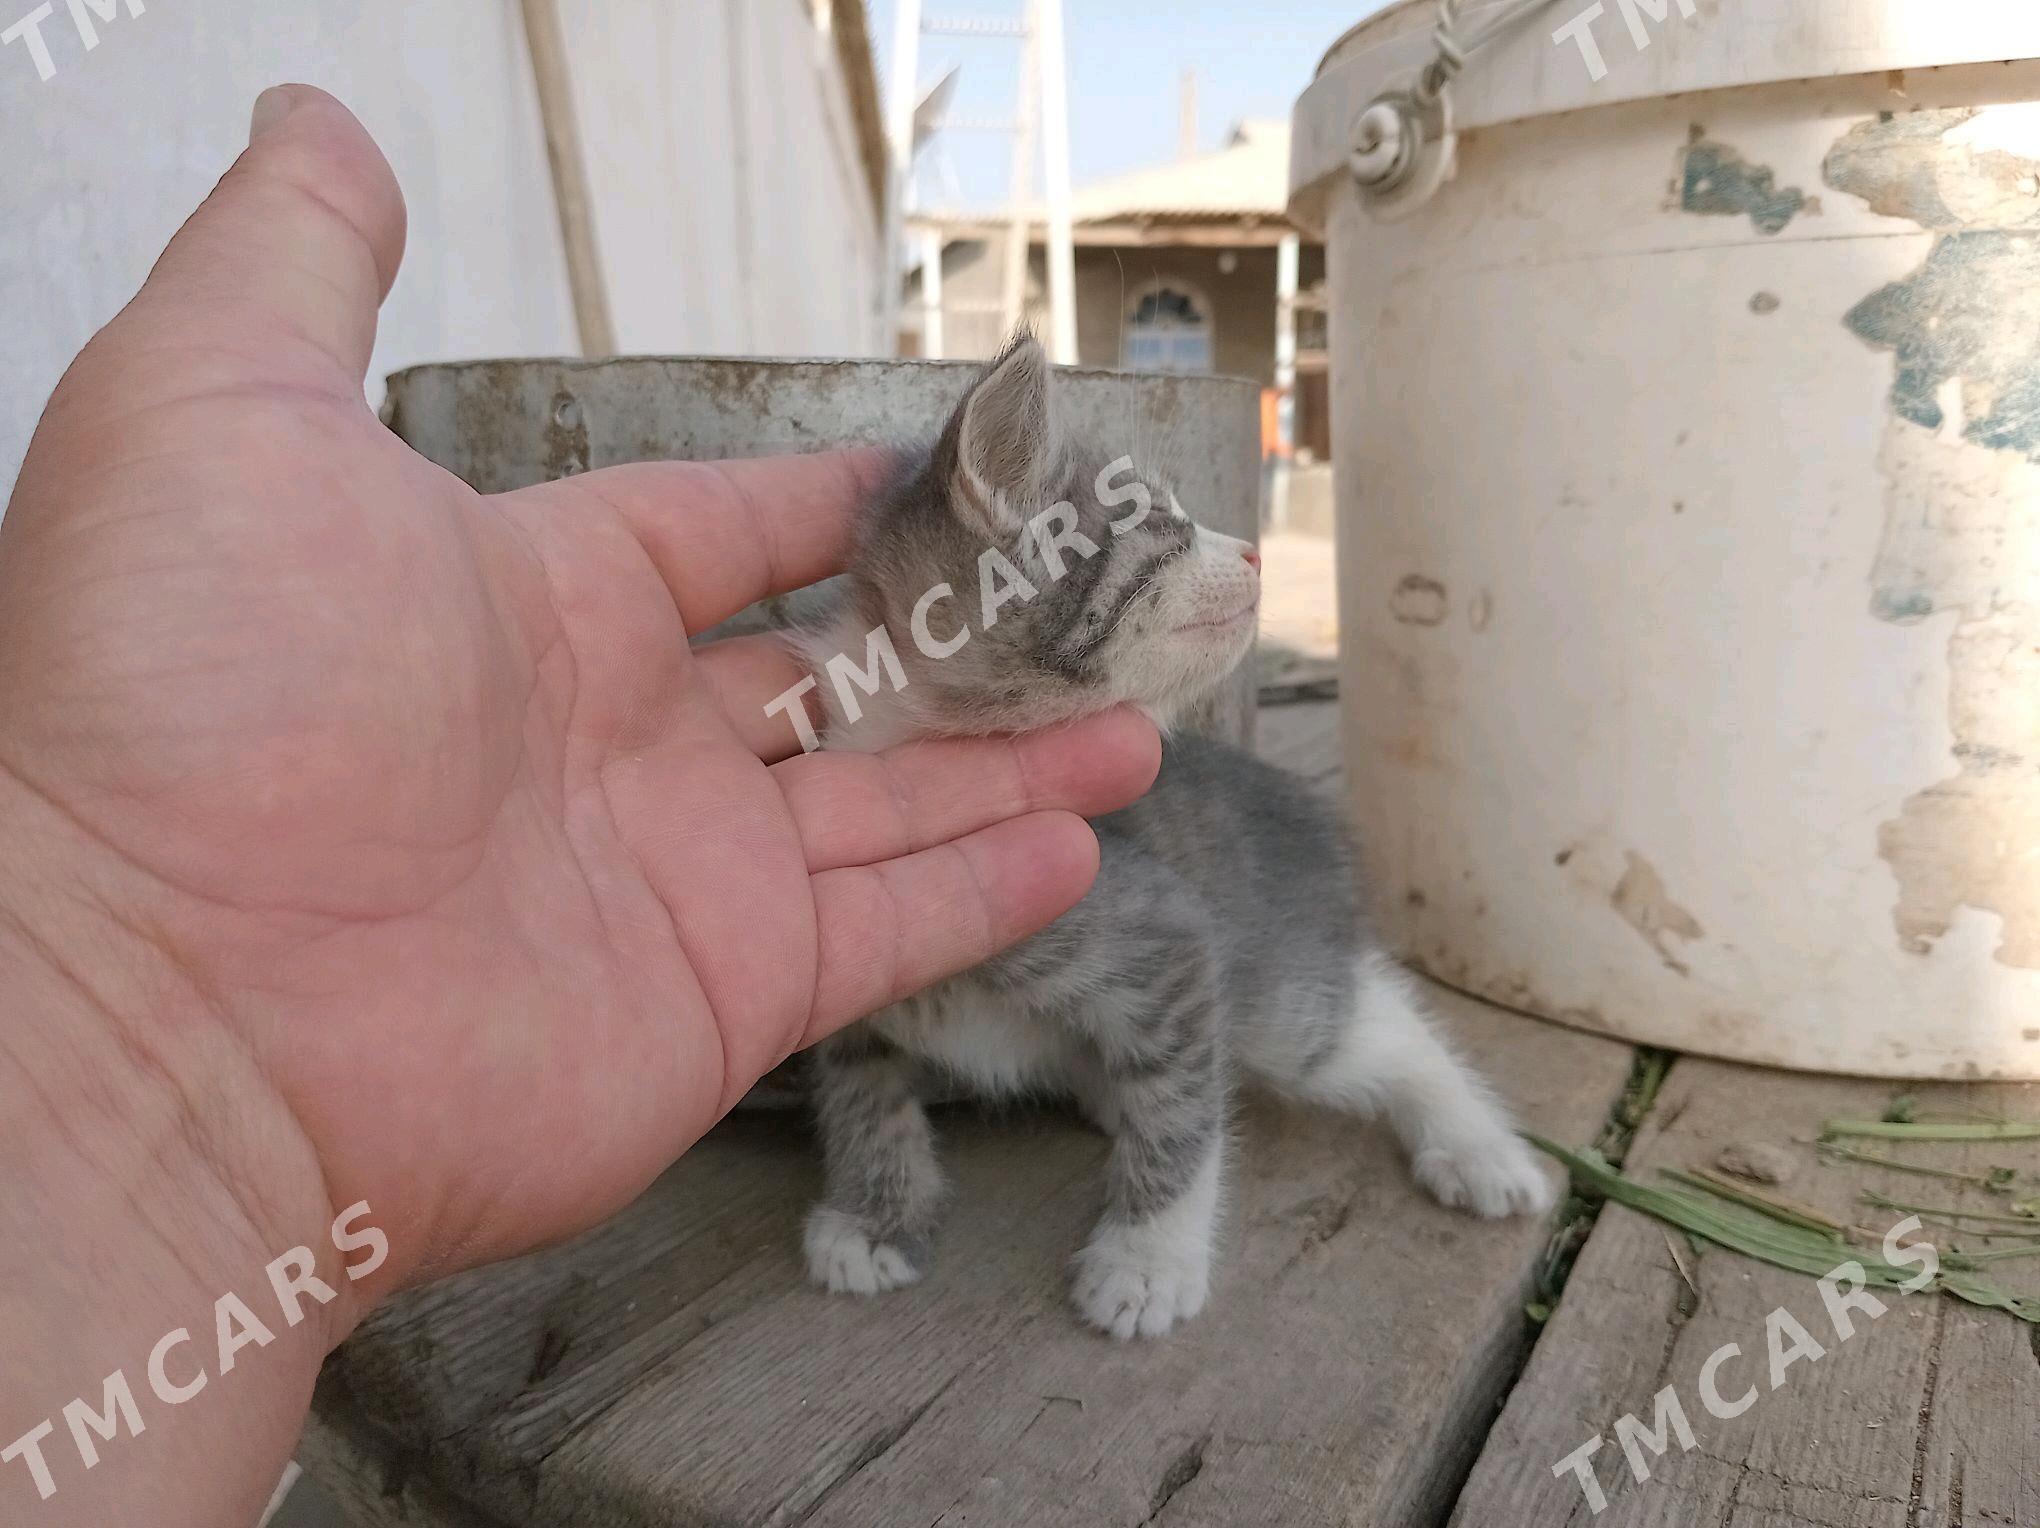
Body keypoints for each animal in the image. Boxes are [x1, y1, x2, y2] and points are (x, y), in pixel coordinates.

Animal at [787, 336, 1550, 1338]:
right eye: (1161, 522)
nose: (1254, 549)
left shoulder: (1172, 941)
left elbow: (1182, 1112)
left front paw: (1150, 1259)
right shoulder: (849, 994)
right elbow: (862, 1095)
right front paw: (877, 1216)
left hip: (1286, 1003)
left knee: (1379, 1025)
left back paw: (1479, 1150)